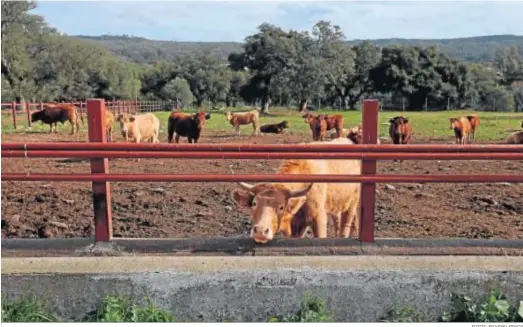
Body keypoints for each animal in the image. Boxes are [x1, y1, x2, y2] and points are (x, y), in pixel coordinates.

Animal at [231, 137, 362, 245]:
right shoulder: (296, 225)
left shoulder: (319, 217)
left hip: (352, 204)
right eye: (254, 203)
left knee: (346, 225)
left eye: (281, 207)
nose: (260, 231)